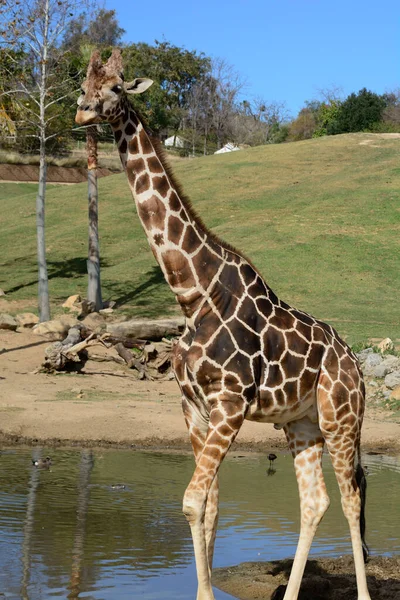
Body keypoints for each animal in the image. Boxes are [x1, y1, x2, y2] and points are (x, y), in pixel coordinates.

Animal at [76, 51, 372, 600]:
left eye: (116, 88)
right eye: (82, 84)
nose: (83, 112)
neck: (193, 294)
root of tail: (358, 366)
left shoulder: (230, 405)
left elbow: (192, 503)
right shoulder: (193, 408)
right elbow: (210, 507)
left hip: (342, 419)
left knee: (351, 498)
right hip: (301, 424)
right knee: (315, 501)